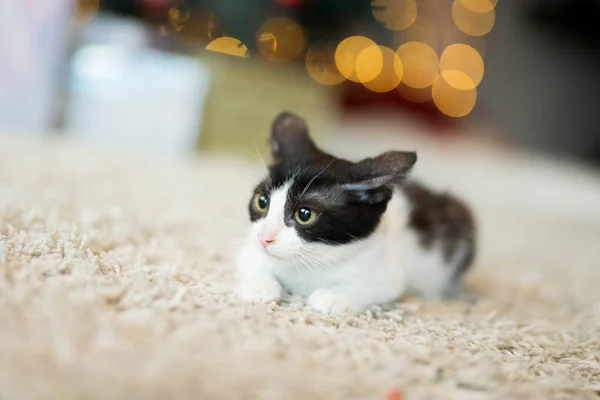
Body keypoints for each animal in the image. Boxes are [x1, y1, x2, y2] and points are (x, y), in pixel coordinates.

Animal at [234, 111, 474, 316]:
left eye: (304, 214)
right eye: (262, 202)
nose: (264, 238)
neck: (313, 259)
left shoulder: (385, 273)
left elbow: (371, 286)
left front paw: (334, 297)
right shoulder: (250, 247)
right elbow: (252, 259)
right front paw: (259, 286)